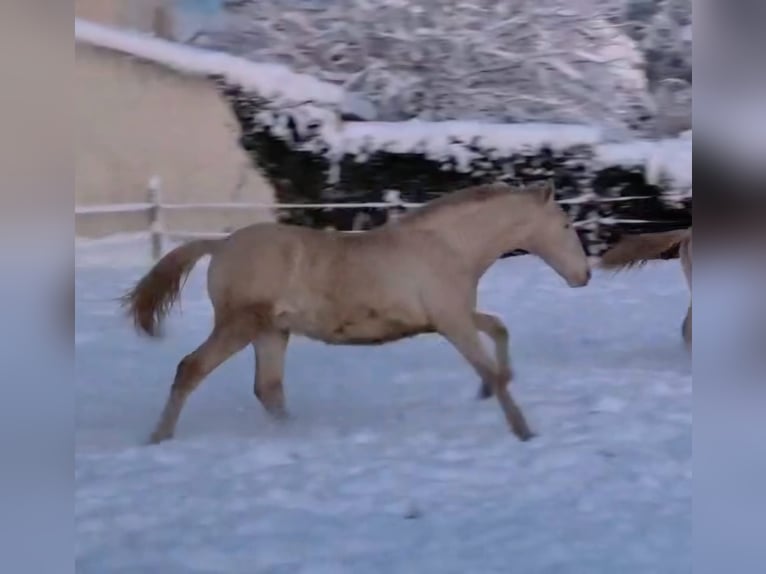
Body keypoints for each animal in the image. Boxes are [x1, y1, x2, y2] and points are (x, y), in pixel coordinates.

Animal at [121, 180, 591, 445]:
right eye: (566, 225)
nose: (584, 275)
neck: (447, 246)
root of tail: (220, 245)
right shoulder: (452, 322)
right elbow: (490, 364)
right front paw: (523, 431)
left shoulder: (449, 317)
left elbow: (499, 329)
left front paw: (489, 391)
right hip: (238, 326)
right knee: (191, 369)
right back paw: (158, 437)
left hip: (272, 332)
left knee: (268, 388)